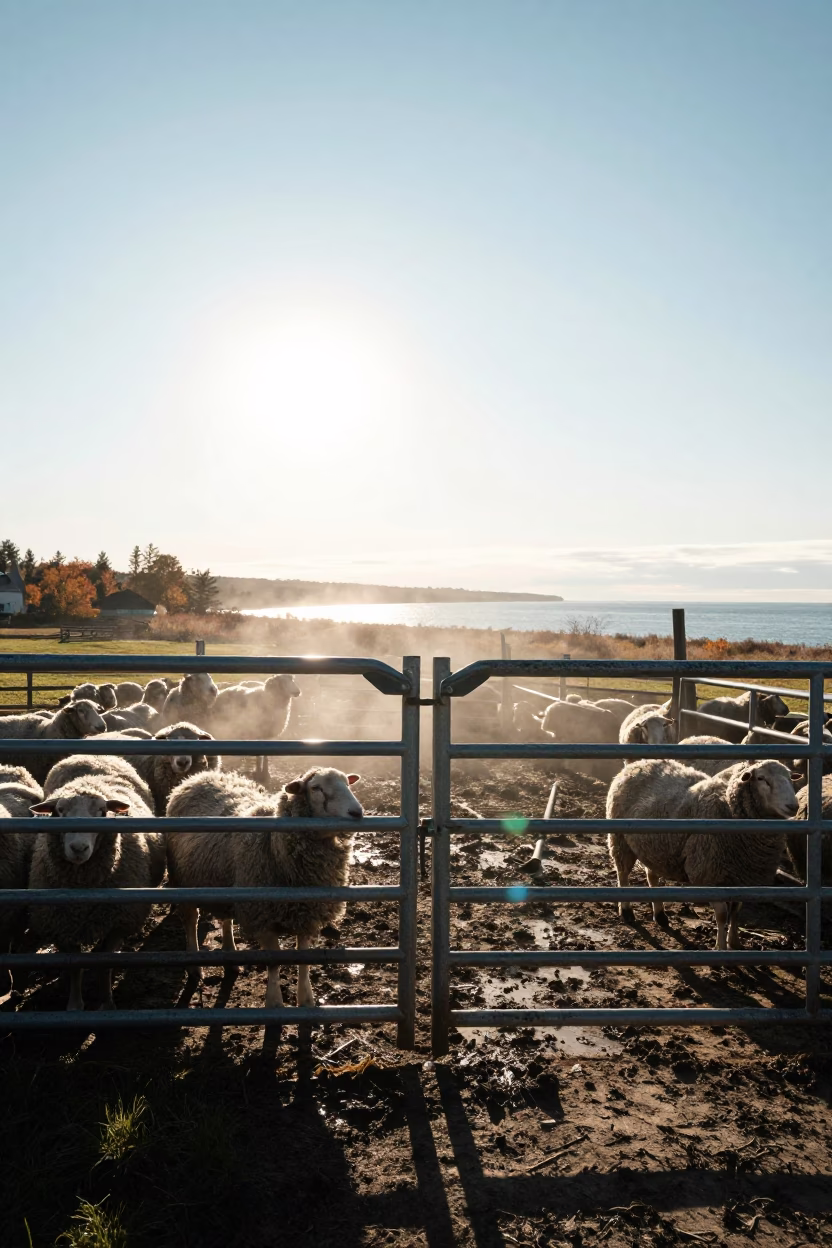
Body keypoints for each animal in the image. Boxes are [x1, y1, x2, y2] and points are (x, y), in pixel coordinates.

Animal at [29, 764, 164, 1010]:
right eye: (60, 811)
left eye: (102, 811)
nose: (78, 848)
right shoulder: (62, 925)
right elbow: (75, 967)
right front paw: (74, 1004)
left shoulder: (118, 922)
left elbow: (105, 964)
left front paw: (107, 1002)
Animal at [166, 767, 362, 1008]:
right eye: (316, 788)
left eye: (348, 783)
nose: (357, 812)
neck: (274, 844)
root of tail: (199, 776)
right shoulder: (263, 916)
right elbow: (274, 963)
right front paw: (275, 1003)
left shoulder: (306, 915)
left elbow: (304, 957)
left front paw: (306, 1000)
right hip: (182, 880)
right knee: (190, 921)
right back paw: (194, 967)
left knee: (226, 919)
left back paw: (230, 957)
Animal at [607, 758, 798, 949]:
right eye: (761, 778)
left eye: (790, 777)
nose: (793, 806)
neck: (728, 809)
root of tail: (637, 763)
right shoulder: (708, 875)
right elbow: (722, 914)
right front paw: (720, 947)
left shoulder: (742, 877)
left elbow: (736, 911)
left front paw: (734, 942)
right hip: (620, 840)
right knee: (623, 873)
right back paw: (627, 912)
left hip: (652, 848)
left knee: (652, 876)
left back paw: (660, 916)